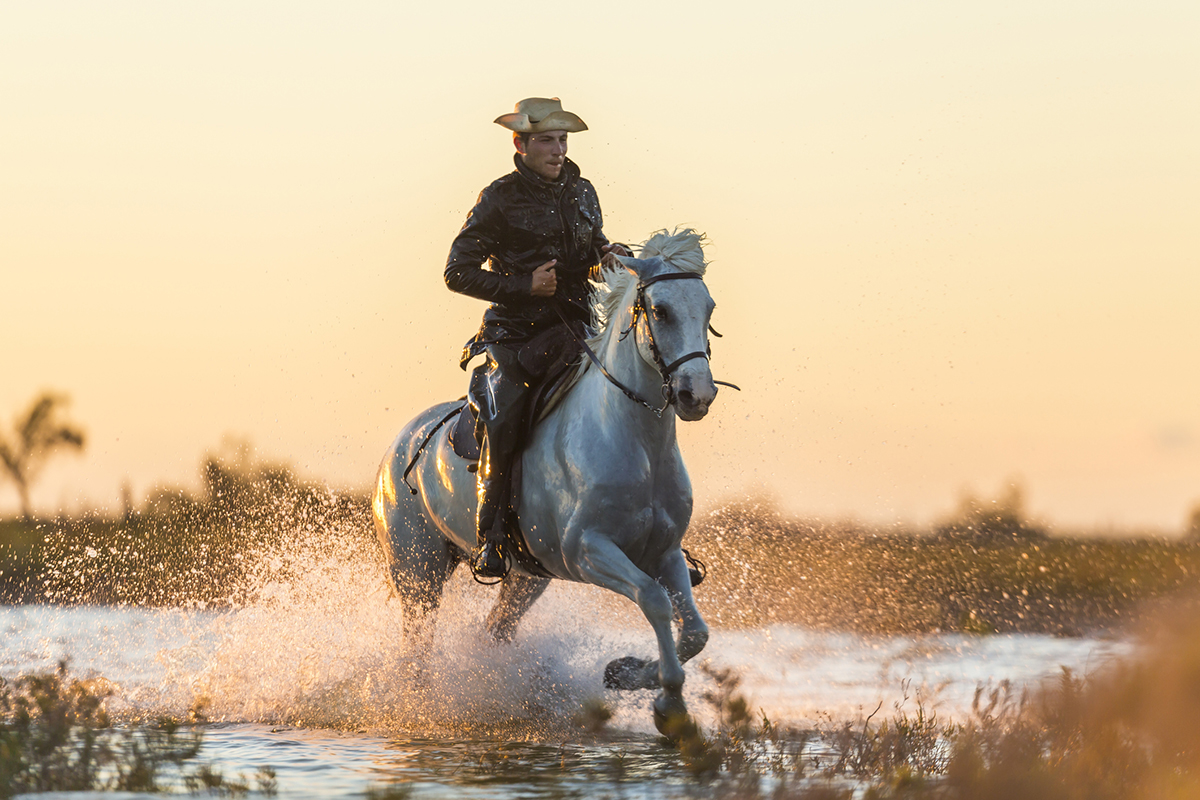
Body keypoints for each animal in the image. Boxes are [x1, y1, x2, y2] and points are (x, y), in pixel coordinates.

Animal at [369, 227, 720, 734]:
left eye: (708, 308)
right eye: (661, 311)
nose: (698, 394)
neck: (636, 442)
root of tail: (399, 446)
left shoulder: (665, 552)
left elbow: (694, 632)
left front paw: (626, 673)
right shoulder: (588, 550)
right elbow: (653, 600)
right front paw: (667, 704)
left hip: (525, 579)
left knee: (494, 631)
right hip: (418, 571)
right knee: (416, 648)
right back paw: (418, 706)